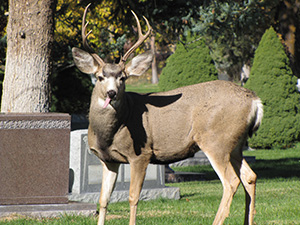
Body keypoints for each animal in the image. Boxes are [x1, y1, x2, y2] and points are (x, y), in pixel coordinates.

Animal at [72, 3, 262, 225]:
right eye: (100, 76)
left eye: (123, 77)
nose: (112, 93)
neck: (109, 133)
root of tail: (254, 100)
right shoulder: (109, 160)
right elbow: (103, 199)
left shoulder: (141, 154)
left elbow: (133, 197)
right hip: (235, 145)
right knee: (249, 176)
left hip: (216, 140)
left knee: (231, 181)